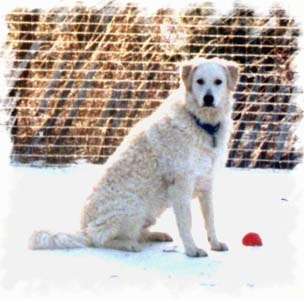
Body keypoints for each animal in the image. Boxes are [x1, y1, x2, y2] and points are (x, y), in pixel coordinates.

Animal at [30, 57, 240, 256]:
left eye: (218, 82)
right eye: (199, 81)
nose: (208, 98)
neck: (201, 123)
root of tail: (83, 229)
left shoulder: (206, 183)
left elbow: (210, 220)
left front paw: (215, 244)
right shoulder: (181, 184)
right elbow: (186, 222)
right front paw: (191, 250)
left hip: (150, 212)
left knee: (136, 233)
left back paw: (156, 235)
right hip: (134, 206)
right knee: (101, 239)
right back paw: (129, 245)